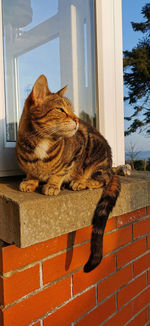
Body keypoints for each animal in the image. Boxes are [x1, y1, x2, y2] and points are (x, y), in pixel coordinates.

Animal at [16, 74, 120, 272]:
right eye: (60, 109)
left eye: (72, 109)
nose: (77, 119)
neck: (43, 141)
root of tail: (111, 165)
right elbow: (31, 172)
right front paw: (30, 181)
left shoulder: (77, 151)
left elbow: (61, 171)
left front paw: (52, 185)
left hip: (96, 152)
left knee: (103, 177)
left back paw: (82, 182)